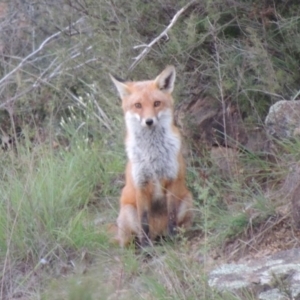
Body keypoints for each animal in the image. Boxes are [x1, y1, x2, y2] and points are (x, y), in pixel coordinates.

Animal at [111, 67, 193, 247]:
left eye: (156, 103)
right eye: (138, 105)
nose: (149, 121)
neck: (152, 154)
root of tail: (159, 234)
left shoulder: (172, 179)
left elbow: (171, 215)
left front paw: (173, 238)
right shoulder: (141, 184)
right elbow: (144, 221)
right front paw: (146, 246)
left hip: (188, 200)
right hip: (127, 212)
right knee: (129, 239)